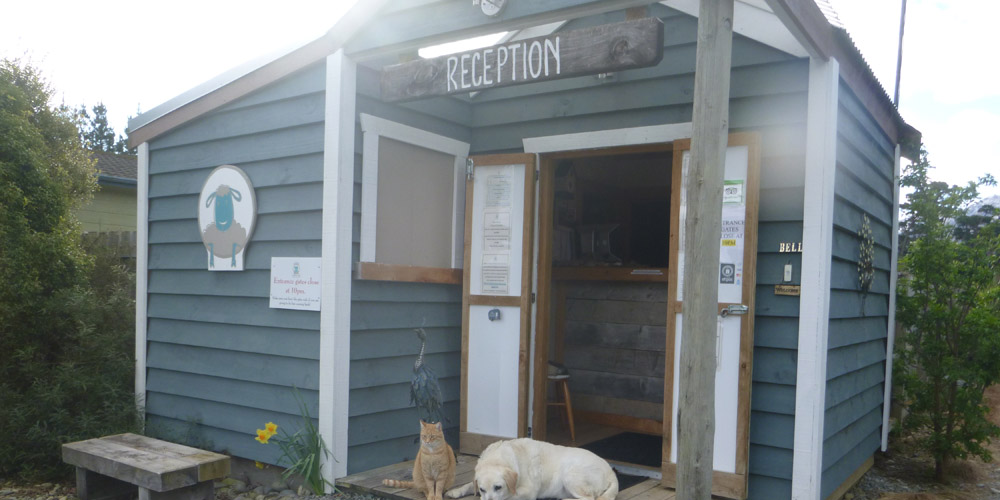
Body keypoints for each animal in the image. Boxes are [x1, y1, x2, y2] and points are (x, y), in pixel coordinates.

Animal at [446, 438, 616, 500]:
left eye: (498, 487)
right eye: (482, 489)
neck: (497, 458)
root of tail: (611, 471)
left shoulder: (529, 490)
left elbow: (510, 495)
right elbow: (469, 484)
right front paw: (455, 491)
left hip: (570, 474)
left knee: (589, 498)